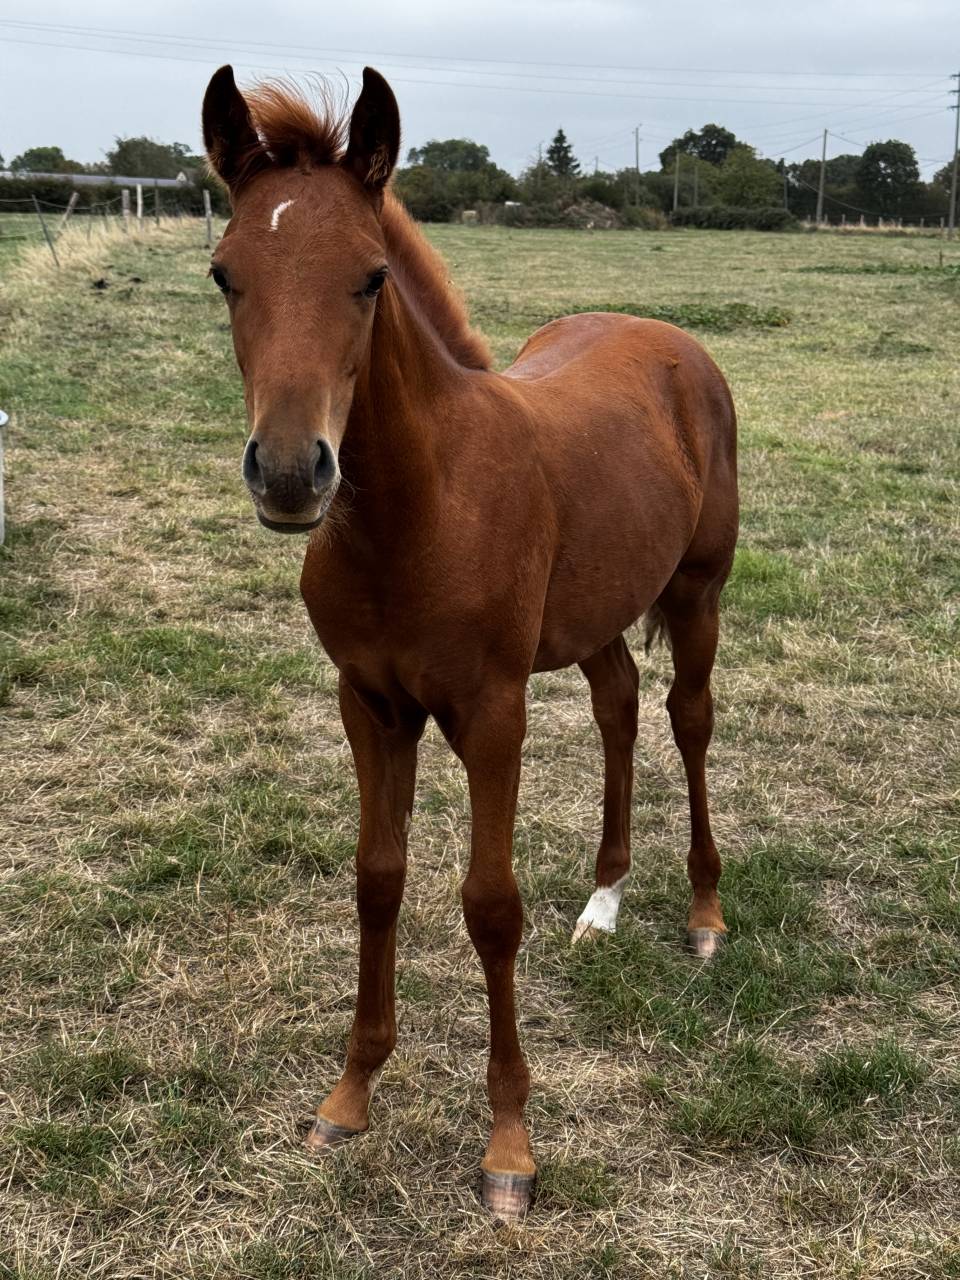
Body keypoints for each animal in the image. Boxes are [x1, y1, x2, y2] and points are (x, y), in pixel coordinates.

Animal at [202, 64, 738, 1220]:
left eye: (369, 279)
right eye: (224, 275)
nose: (289, 474)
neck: (418, 512)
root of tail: (669, 339)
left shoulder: (491, 710)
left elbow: (490, 907)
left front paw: (509, 1149)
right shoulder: (370, 703)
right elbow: (378, 879)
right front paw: (350, 1095)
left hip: (699, 591)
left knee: (689, 720)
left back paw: (705, 911)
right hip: (591, 617)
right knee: (620, 703)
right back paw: (604, 901)